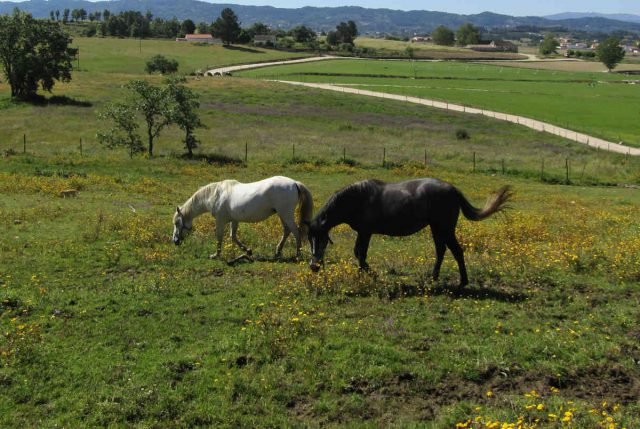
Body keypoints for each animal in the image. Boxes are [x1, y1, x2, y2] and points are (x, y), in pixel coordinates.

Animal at [172, 175, 312, 258]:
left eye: (177, 223)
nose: (175, 241)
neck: (216, 195)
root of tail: (294, 183)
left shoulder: (220, 220)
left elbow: (219, 236)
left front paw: (216, 255)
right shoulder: (234, 220)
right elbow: (233, 236)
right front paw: (248, 250)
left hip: (286, 214)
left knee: (296, 231)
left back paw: (297, 254)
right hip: (282, 214)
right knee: (287, 231)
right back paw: (278, 252)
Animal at [308, 177, 512, 288]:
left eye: (321, 239)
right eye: (309, 239)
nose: (313, 267)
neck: (358, 198)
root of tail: (453, 189)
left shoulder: (366, 232)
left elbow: (360, 253)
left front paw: (371, 275)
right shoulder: (362, 232)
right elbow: (359, 253)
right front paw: (363, 275)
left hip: (444, 228)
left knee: (456, 251)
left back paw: (462, 281)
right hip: (436, 228)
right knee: (442, 250)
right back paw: (434, 277)